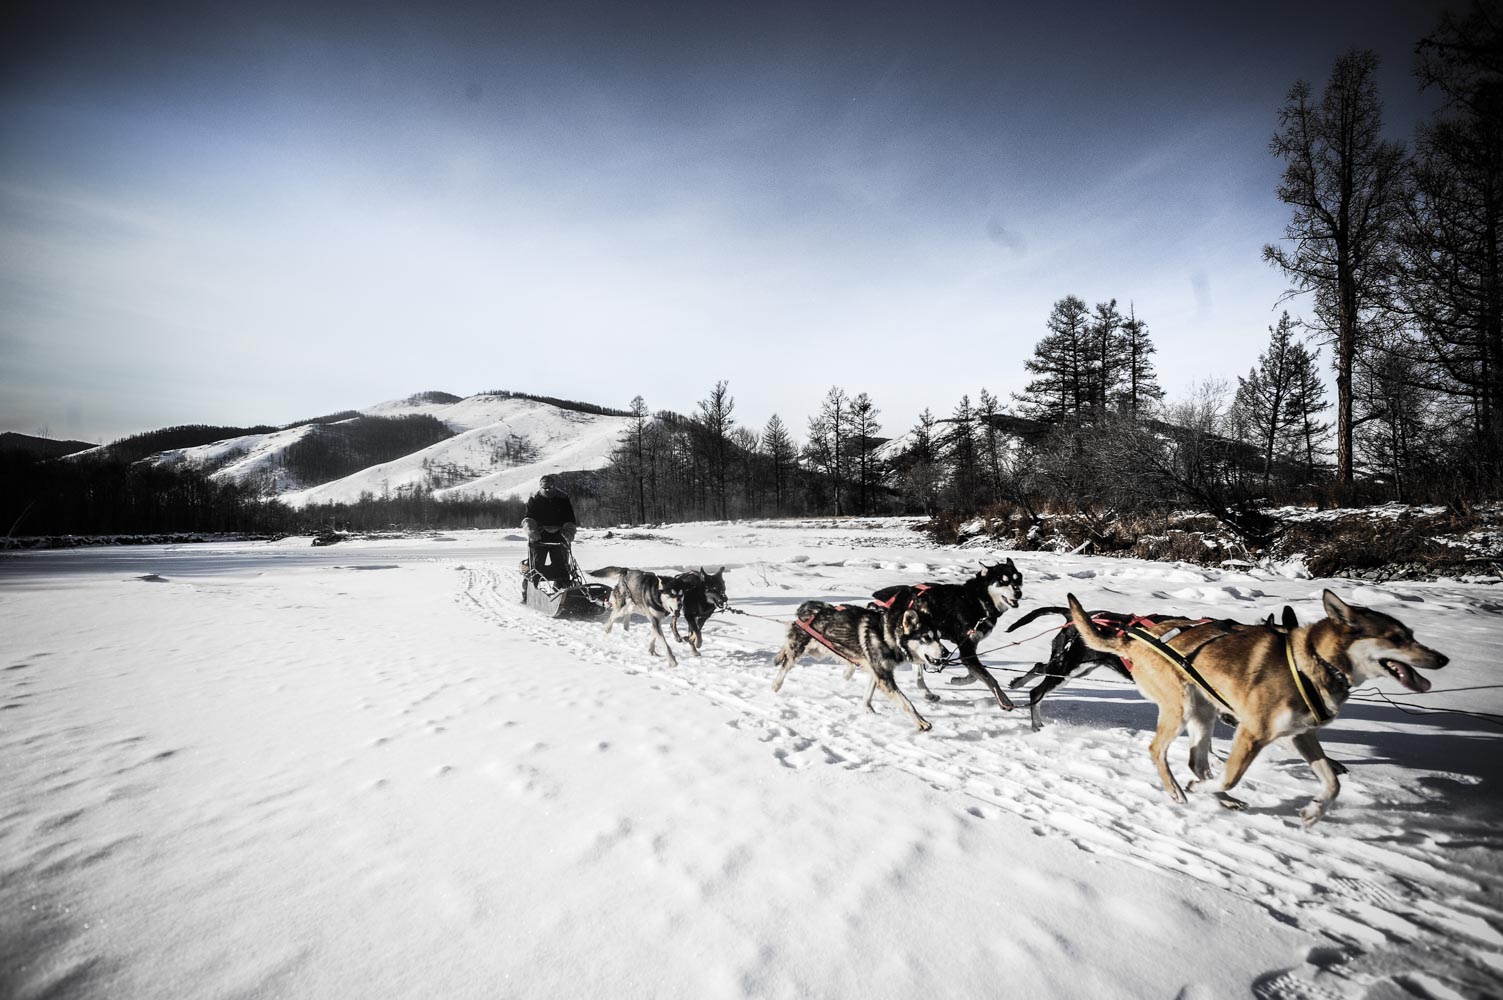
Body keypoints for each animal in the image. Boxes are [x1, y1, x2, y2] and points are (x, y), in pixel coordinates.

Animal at [775, 595, 949, 730]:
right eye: (926, 637)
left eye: (940, 637)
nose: (946, 652)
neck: (886, 635)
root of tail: (806, 607)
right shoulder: (884, 677)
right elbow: (906, 703)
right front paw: (921, 722)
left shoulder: (876, 671)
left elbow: (868, 696)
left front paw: (869, 710)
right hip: (800, 649)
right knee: (786, 663)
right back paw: (776, 684)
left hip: (817, 651)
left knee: (786, 648)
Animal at [865, 562, 1028, 709]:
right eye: (1003, 581)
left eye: (1017, 579)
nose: (1018, 593)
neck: (977, 602)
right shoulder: (966, 649)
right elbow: (990, 679)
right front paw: (1004, 699)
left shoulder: (968, 650)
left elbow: (975, 675)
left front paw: (958, 680)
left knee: (918, 675)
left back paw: (928, 694)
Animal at [1064, 589, 1448, 824]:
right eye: (1396, 639)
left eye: (1411, 635)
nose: (1442, 659)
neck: (1312, 661)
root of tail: (1133, 638)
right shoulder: (1252, 732)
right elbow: (1232, 775)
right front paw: (1202, 789)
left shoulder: (1300, 734)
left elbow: (1331, 780)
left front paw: (1315, 811)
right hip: (1180, 708)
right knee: (1158, 750)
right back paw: (1179, 790)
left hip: (1202, 712)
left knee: (1196, 761)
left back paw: (1218, 798)